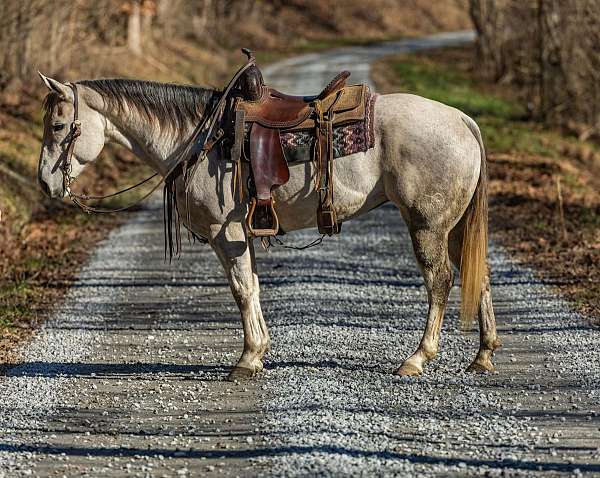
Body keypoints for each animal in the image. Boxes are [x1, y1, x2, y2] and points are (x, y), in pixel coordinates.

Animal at [35, 73, 500, 380]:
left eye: (58, 126)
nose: (44, 183)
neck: (198, 140)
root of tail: (462, 121)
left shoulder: (226, 234)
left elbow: (242, 291)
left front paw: (246, 360)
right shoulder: (243, 235)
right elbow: (254, 288)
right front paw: (258, 353)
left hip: (427, 224)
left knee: (440, 281)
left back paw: (418, 358)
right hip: (454, 227)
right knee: (479, 276)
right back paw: (483, 355)